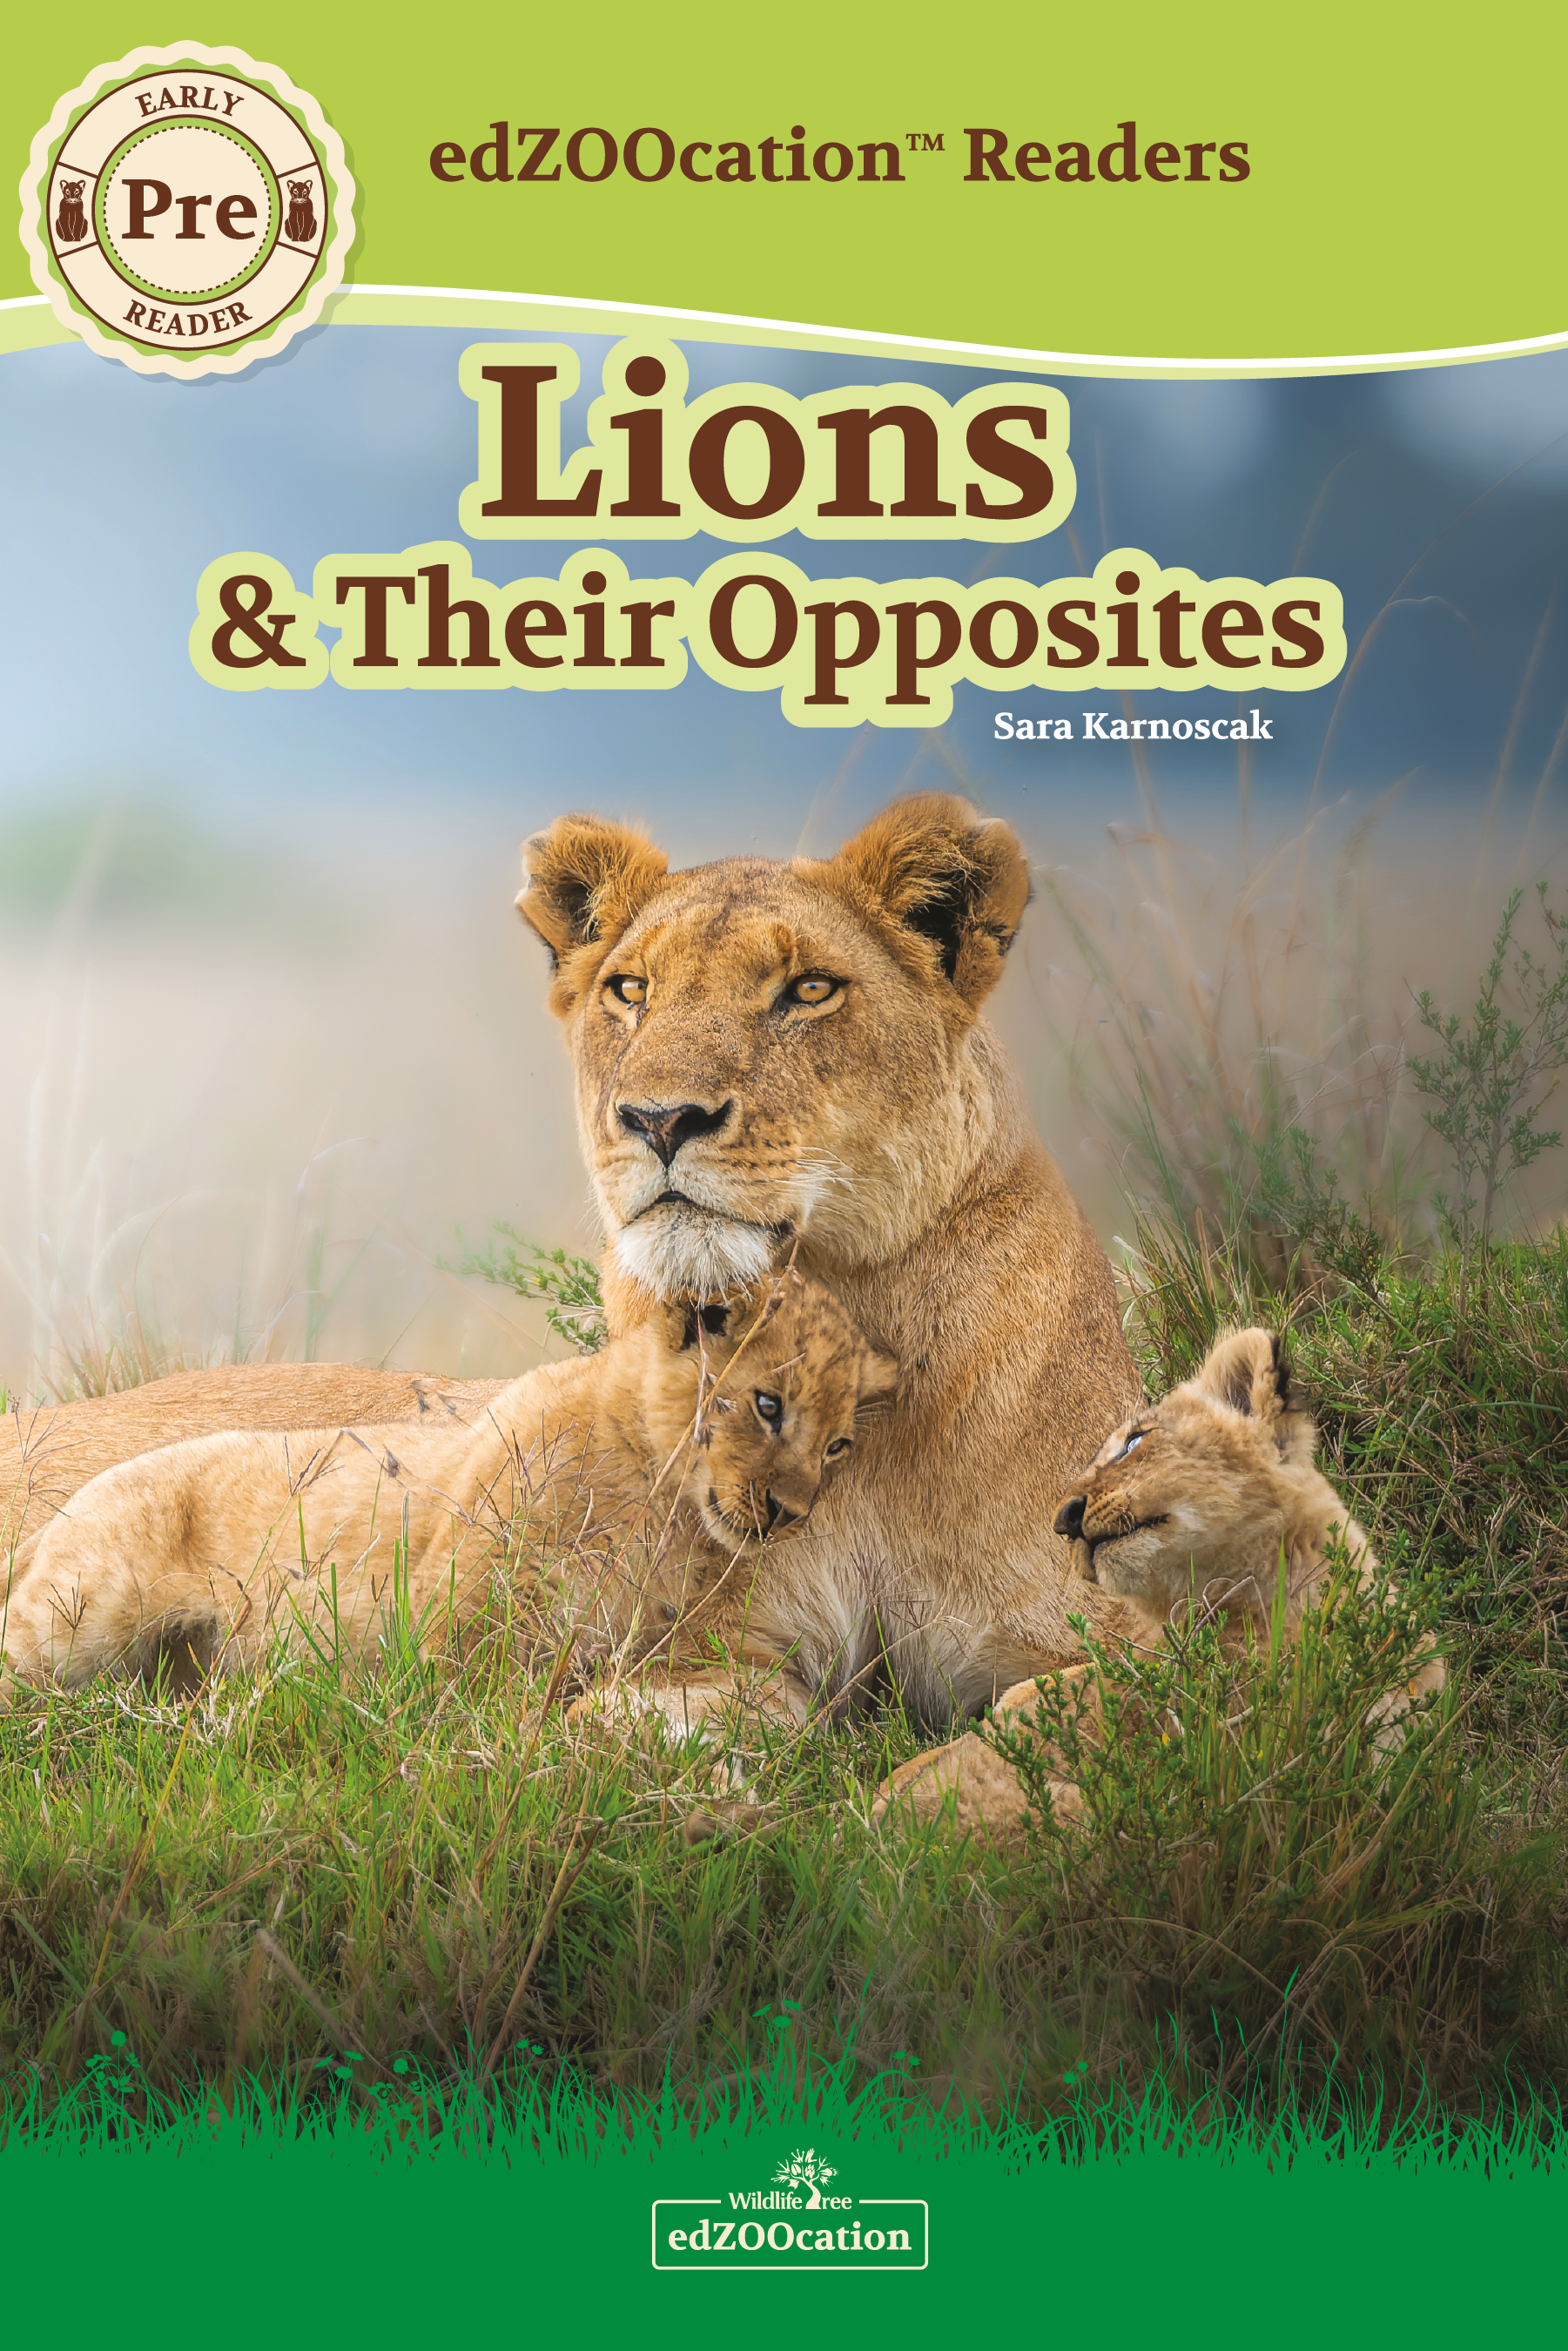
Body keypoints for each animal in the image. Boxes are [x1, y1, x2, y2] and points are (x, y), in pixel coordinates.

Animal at [0, 1272, 896, 1717]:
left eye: (840, 1445)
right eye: (768, 1405)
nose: (792, 1514)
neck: (658, 1504)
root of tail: (70, 1506)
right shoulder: (455, 1624)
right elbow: (500, 1711)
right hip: (75, 1621)